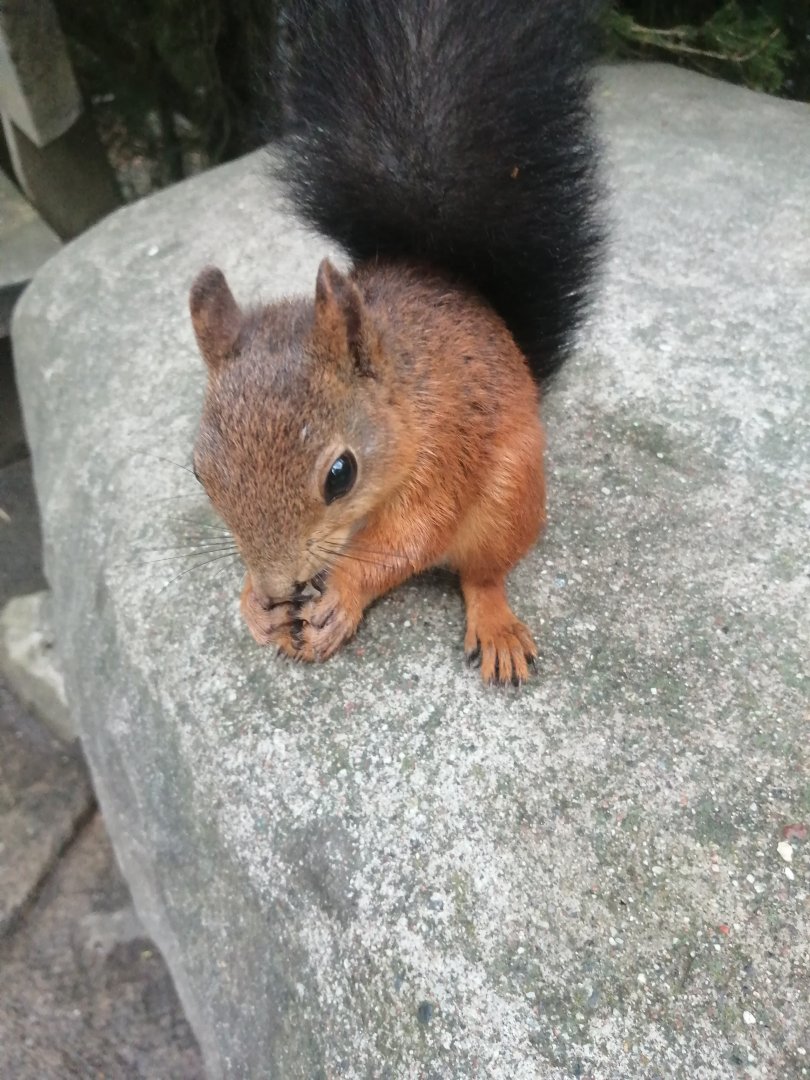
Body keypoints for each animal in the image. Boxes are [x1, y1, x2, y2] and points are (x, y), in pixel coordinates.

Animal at [189, 0, 603, 685]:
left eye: (341, 475)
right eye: (200, 472)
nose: (280, 584)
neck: (404, 393)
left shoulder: (447, 446)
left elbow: (413, 537)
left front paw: (339, 596)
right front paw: (255, 605)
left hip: (509, 497)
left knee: (484, 572)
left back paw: (496, 626)